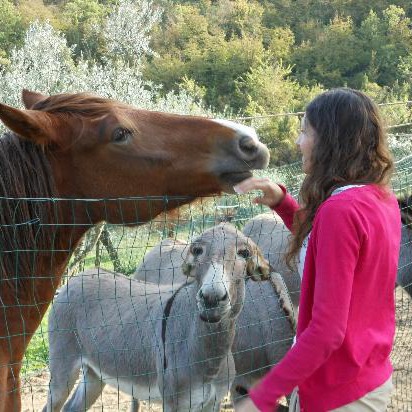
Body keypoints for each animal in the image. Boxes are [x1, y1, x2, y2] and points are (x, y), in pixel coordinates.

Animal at [0, 88, 270, 410]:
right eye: (119, 133)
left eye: (243, 254)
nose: (251, 141)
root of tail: (82, 276)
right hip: (64, 372)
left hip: (94, 375)